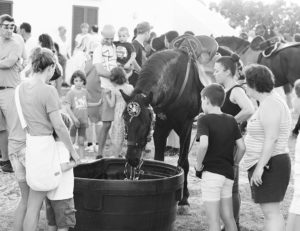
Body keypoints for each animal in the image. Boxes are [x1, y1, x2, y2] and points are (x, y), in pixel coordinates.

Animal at [120, 49, 205, 205]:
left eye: (144, 121)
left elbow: (183, 161)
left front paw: (184, 197)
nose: (132, 159)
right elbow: (159, 160)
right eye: (124, 119)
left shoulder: (186, 126)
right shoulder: (160, 127)